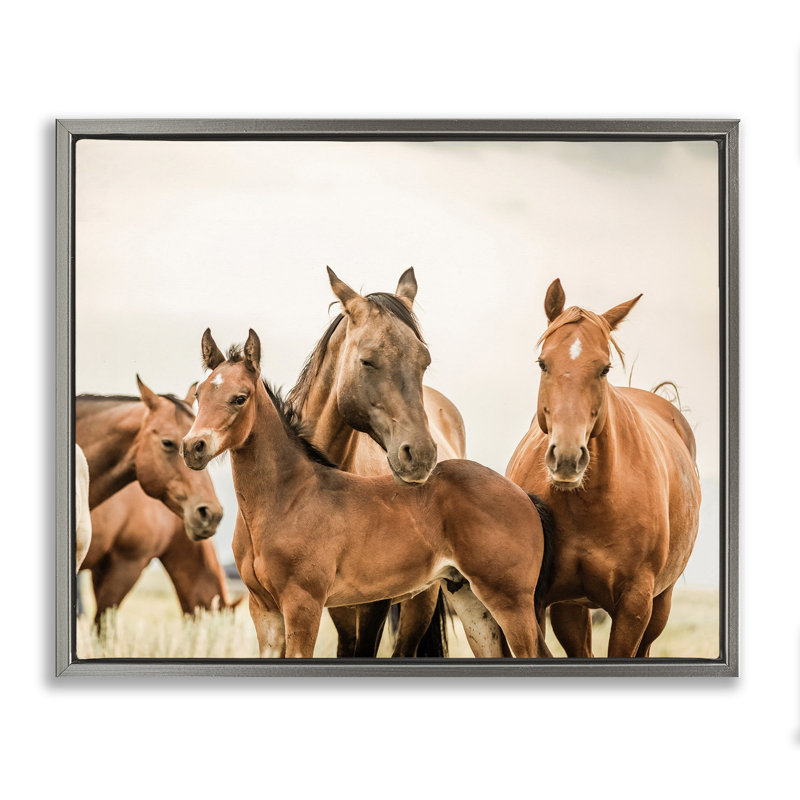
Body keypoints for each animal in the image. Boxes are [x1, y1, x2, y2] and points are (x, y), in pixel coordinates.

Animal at [183, 329, 552, 658]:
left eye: (240, 397)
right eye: (199, 395)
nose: (193, 447)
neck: (288, 498)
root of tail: (522, 495)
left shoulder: (303, 605)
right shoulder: (264, 611)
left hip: (510, 601)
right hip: (470, 600)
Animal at [286, 267, 467, 657]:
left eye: (424, 361)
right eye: (367, 360)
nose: (421, 455)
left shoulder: (375, 605)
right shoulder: (338, 608)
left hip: (421, 600)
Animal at [505, 279, 701, 657]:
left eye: (605, 368)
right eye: (543, 363)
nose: (567, 458)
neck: (589, 505)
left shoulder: (635, 606)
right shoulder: (538, 602)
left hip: (660, 604)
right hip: (572, 608)